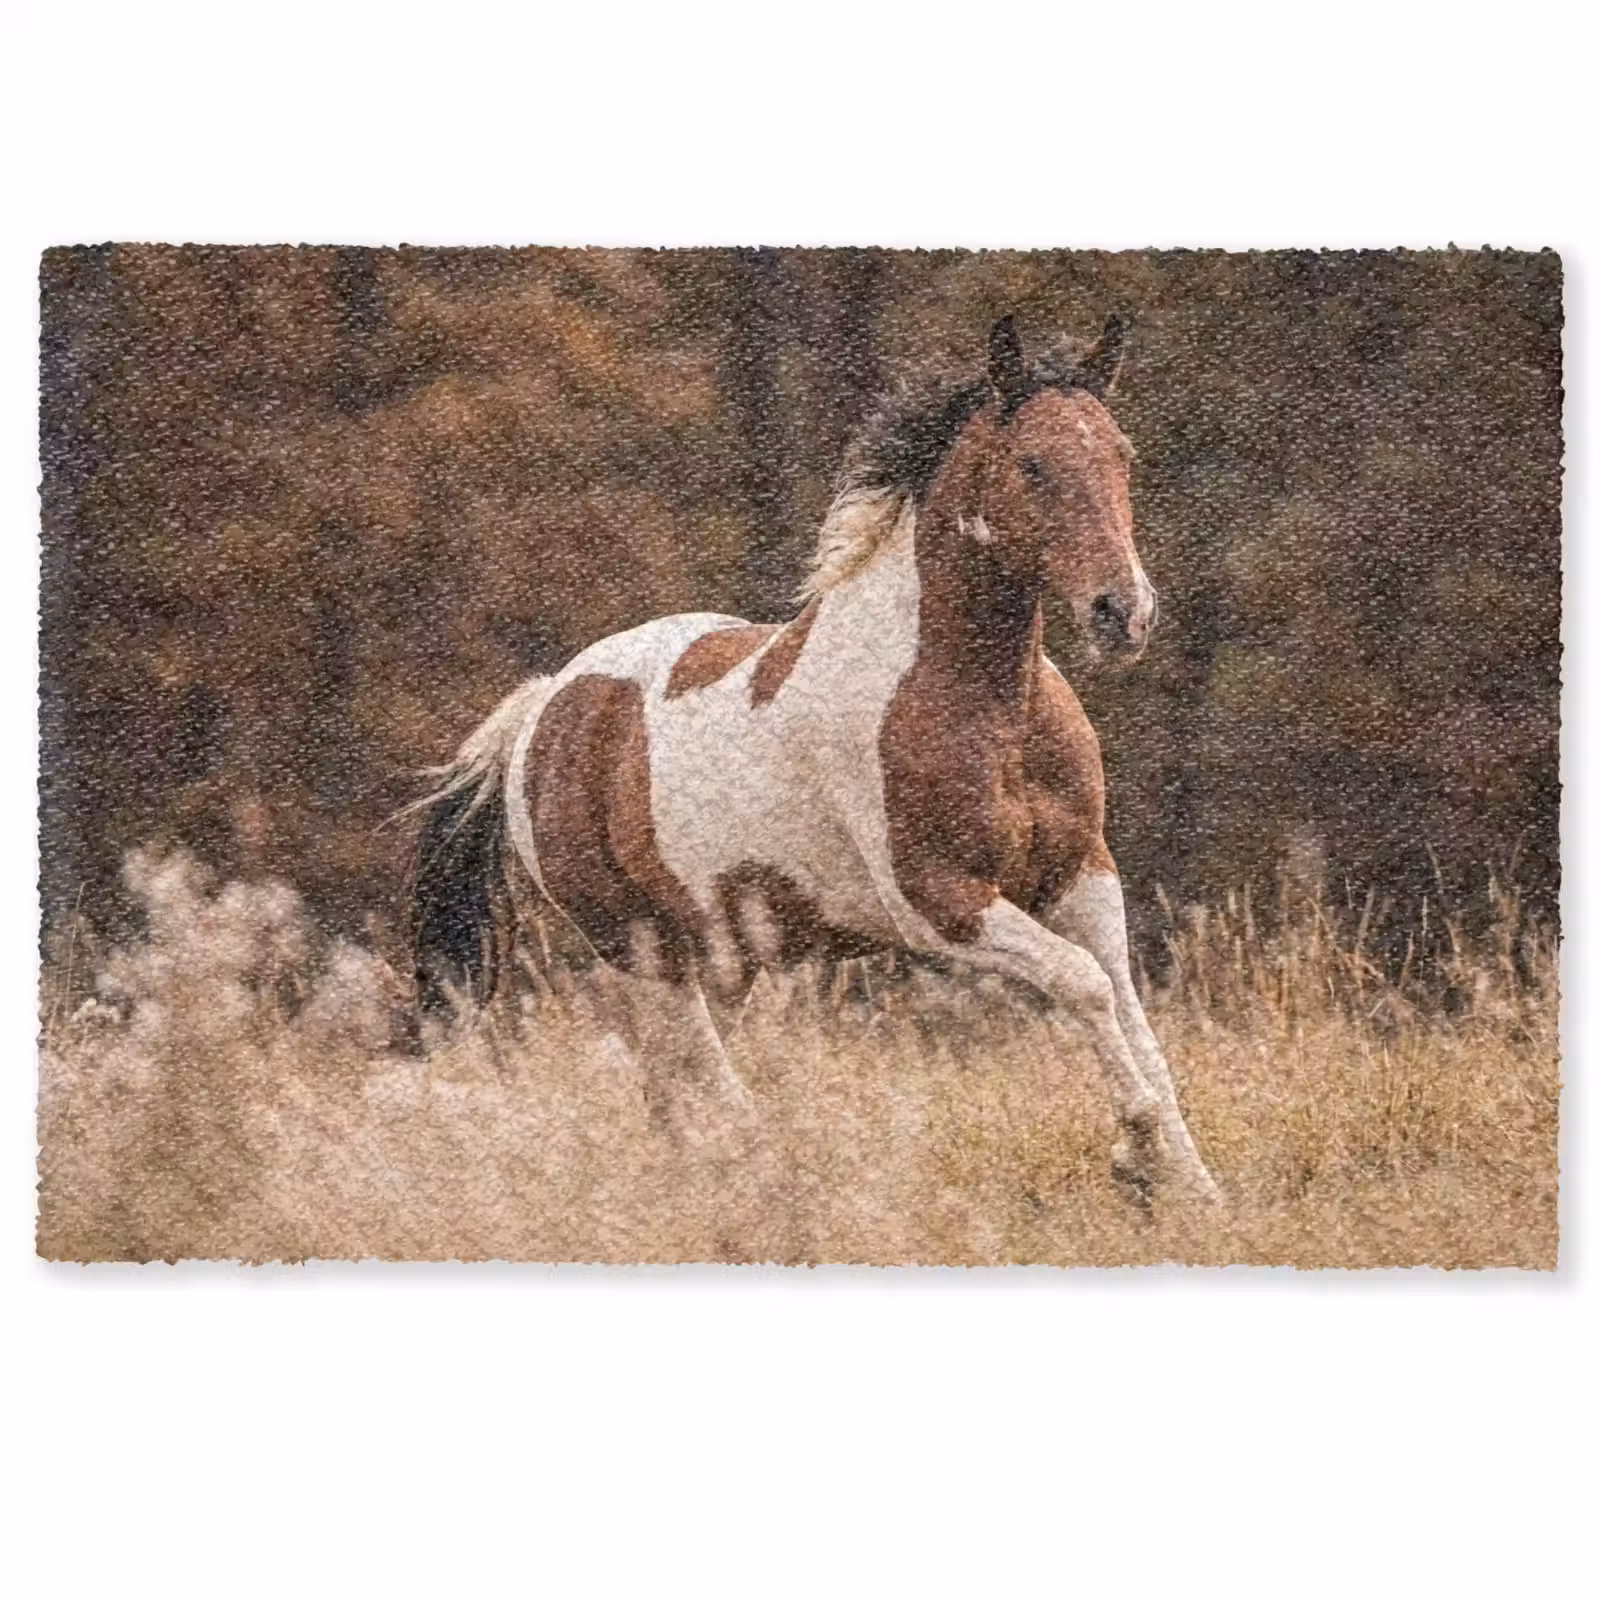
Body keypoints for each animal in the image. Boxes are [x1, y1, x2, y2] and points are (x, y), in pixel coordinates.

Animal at [408, 313, 1219, 1203]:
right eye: (1031, 464)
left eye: (1122, 453)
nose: (1123, 613)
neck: (984, 703)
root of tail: (543, 707)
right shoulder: (937, 901)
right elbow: (1084, 983)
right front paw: (1135, 1153)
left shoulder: (1081, 877)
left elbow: (1131, 1013)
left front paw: (1195, 1189)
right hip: (638, 946)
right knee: (699, 1077)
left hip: (720, 958)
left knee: (670, 1091)